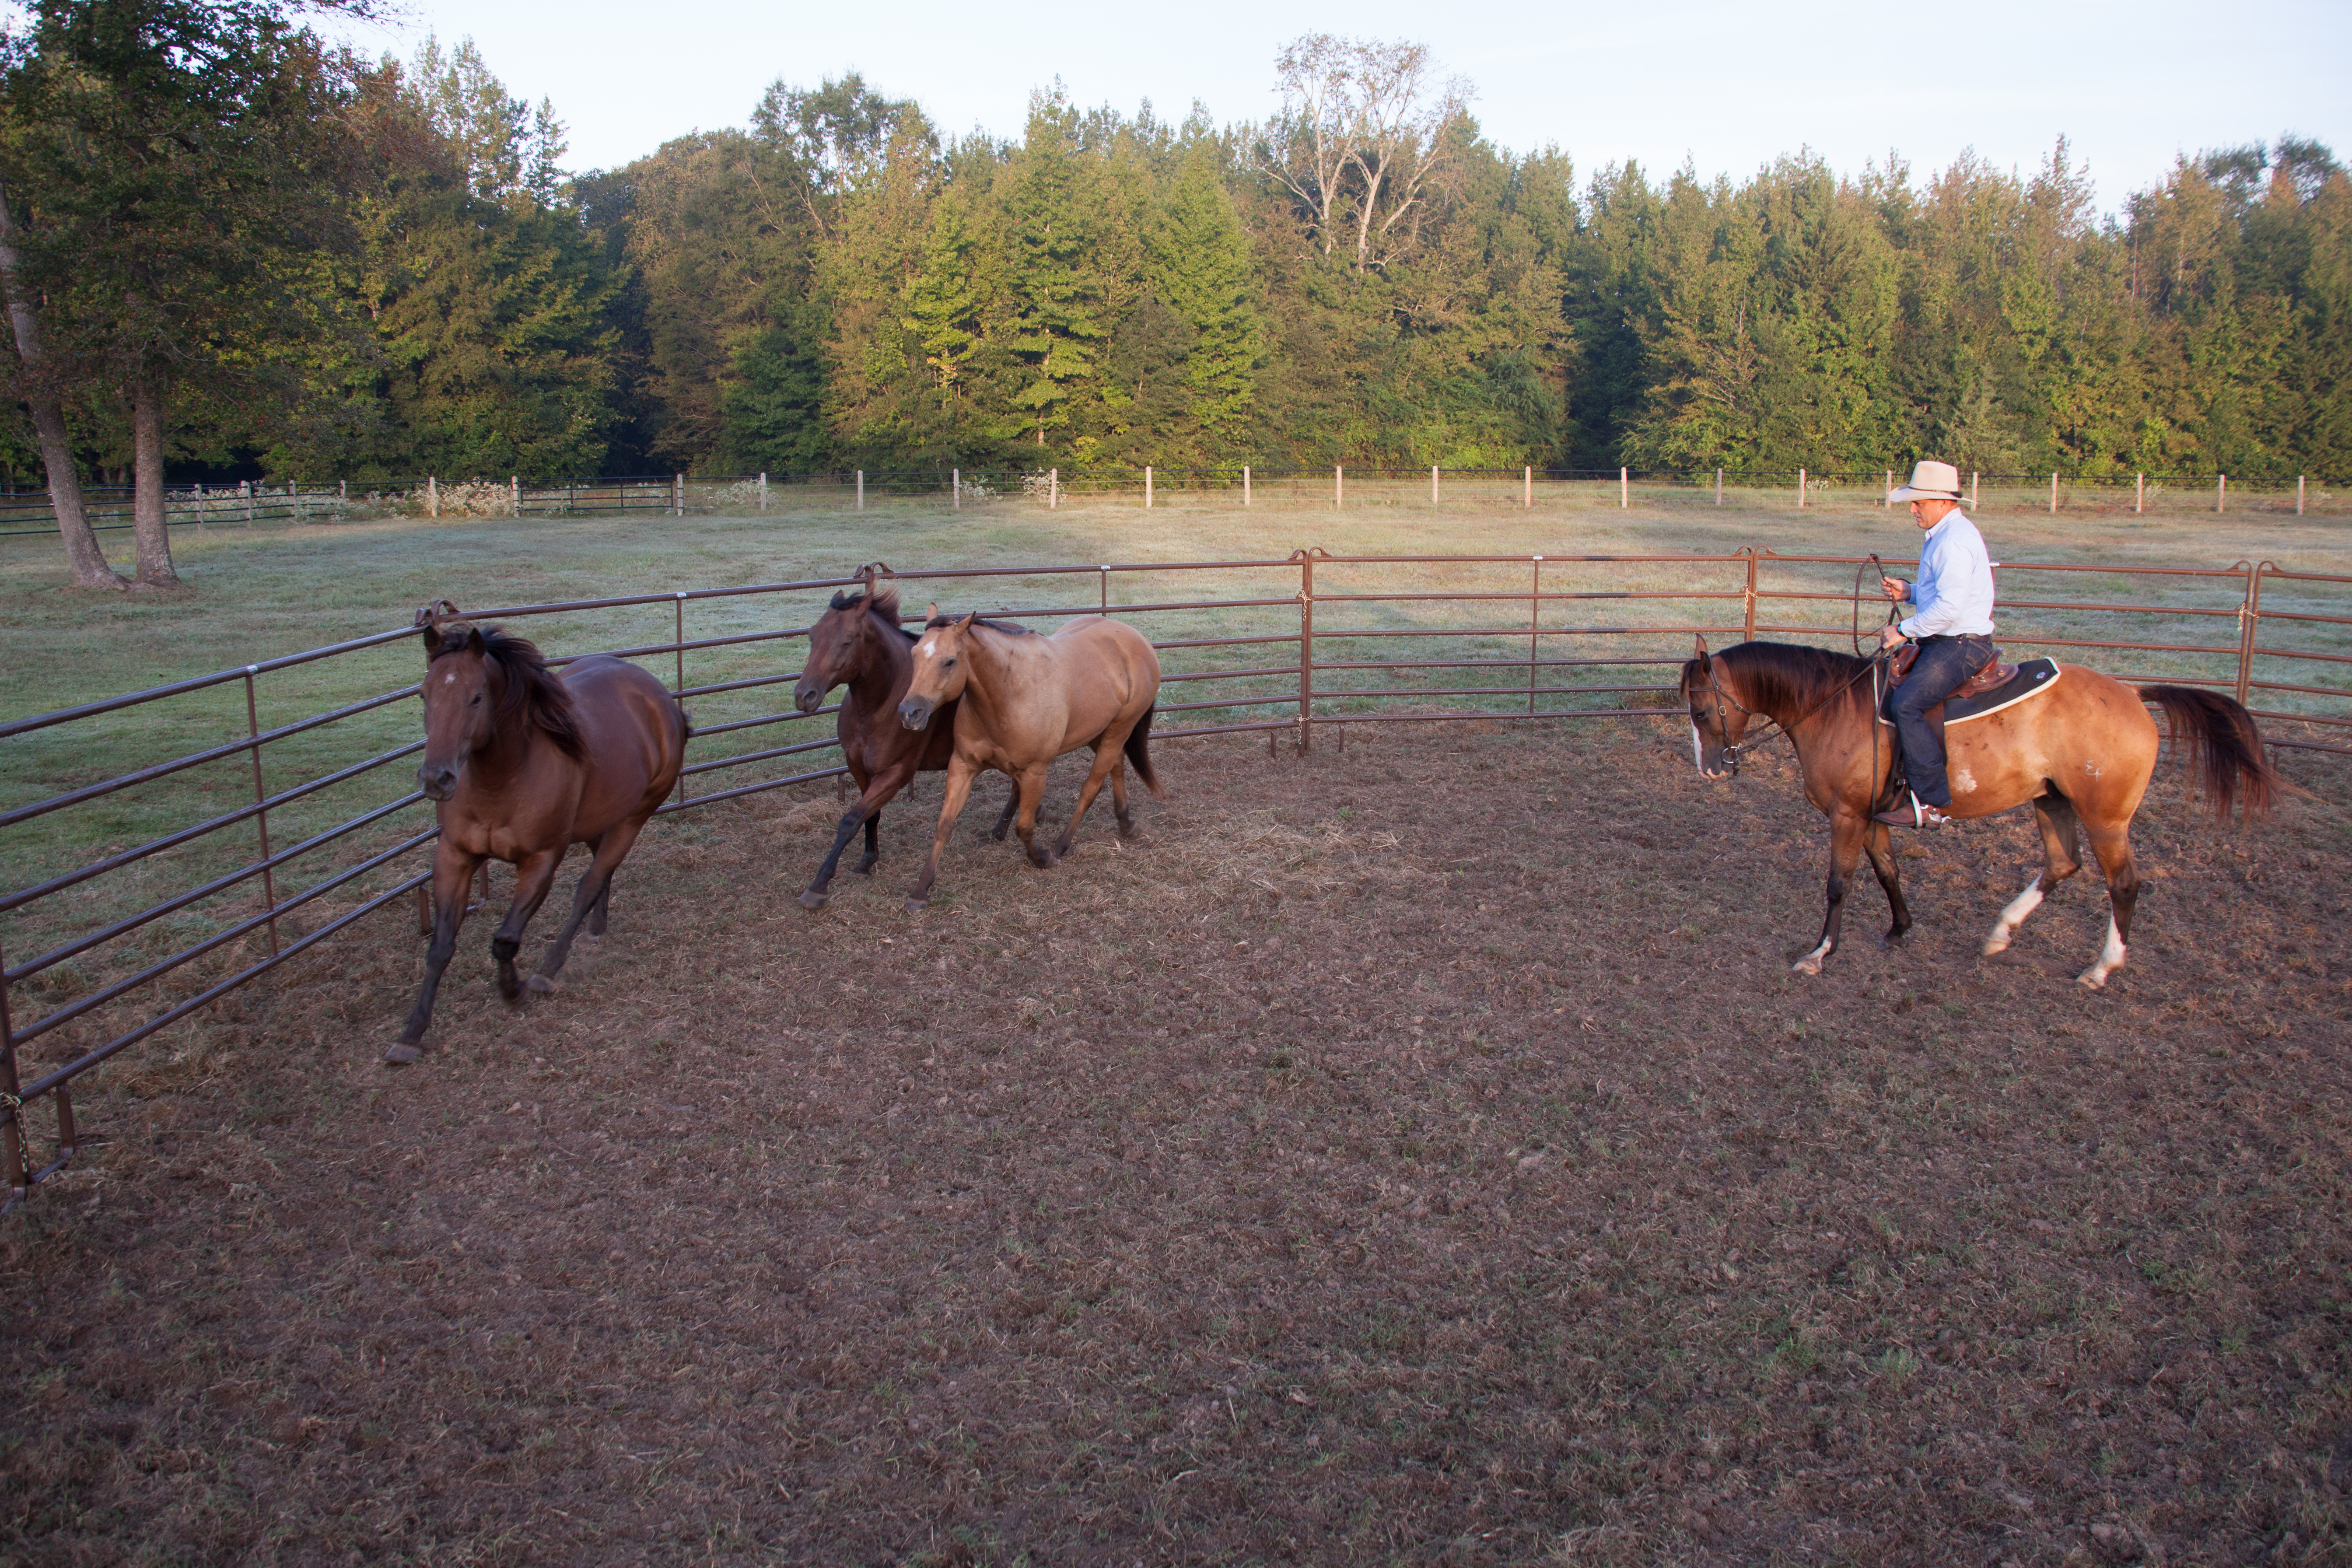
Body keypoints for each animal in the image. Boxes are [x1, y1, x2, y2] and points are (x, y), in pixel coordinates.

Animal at [389, 603, 691, 1063]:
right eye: (424, 695)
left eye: (476, 697)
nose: (437, 779)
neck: (503, 779)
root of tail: (660, 699)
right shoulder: (454, 856)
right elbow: (440, 946)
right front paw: (411, 1034)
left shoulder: (541, 860)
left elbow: (505, 940)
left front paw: (513, 991)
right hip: (599, 819)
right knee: (599, 874)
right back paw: (596, 927)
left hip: (634, 817)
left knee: (590, 883)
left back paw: (549, 971)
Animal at [791, 575, 1022, 909]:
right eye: (812, 636)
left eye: (847, 641)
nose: (804, 696)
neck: (877, 707)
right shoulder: (859, 768)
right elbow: (869, 816)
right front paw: (868, 861)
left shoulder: (897, 773)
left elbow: (850, 820)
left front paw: (819, 885)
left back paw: (1002, 830)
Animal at [895, 607, 1163, 910]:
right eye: (915, 654)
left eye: (950, 661)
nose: (909, 713)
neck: (1009, 693)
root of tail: (1136, 639)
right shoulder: (963, 767)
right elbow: (944, 825)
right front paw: (920, 890)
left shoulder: (1035, 773)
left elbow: (1024, 827)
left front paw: (1042, 858)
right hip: (1100, 733)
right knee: (1116, 769)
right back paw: (1126, 823)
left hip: (1120, 730)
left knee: (1091, 788)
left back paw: (1061, 845)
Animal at [1680, 637, 2286, 988]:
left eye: (1703, 710)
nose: (1710, 769)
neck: (1836, 706)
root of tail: (2135, 695)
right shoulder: (1870, 817)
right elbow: (1888, 871)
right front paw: (1900, 928)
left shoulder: (1847, 816)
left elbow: (1838, 883)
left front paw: (1819, 953)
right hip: (2051, 800)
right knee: (2062, 864)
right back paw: (2000, 933)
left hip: (2106, 818)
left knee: (2125, 884)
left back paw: (2100, 968)